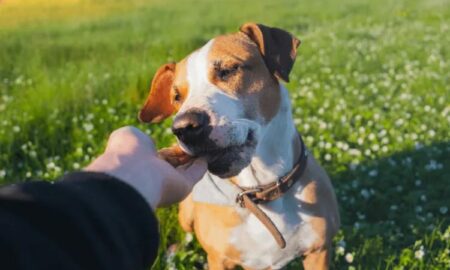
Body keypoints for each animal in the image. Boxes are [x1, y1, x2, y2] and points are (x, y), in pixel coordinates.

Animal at [139, 23, 340, 270]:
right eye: (176, 96)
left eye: (228, 70)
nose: (184, 127)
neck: (260, 188)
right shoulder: (219, 260)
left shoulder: (319, 252)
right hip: (185, 213)